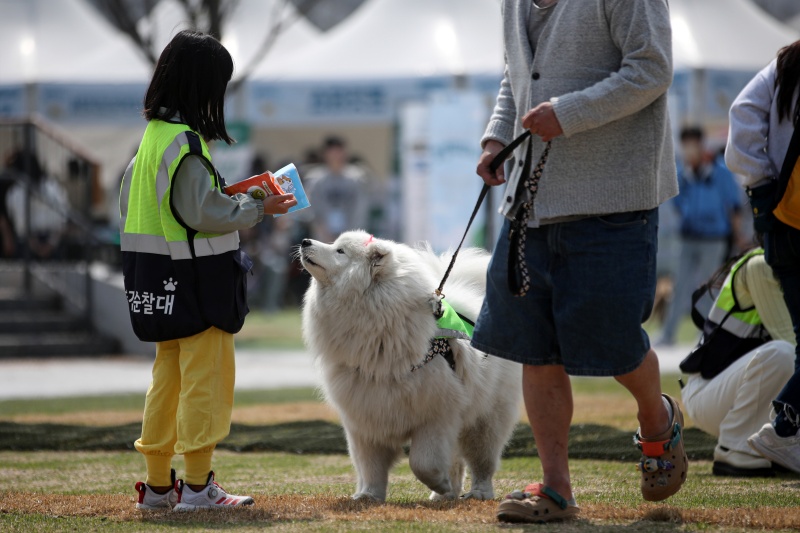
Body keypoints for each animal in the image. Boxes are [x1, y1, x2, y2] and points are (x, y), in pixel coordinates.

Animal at [298, 231, 520, 500]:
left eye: (340, 251)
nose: (305, 241)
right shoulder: (364, 413)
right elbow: (370, 465)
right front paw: (369, 495)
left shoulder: (435, 413)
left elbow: (422, 462)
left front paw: (438, 483)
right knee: (457, 459)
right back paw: (445, 496)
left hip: (486, 418)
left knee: (482, 460)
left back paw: (476, 492)